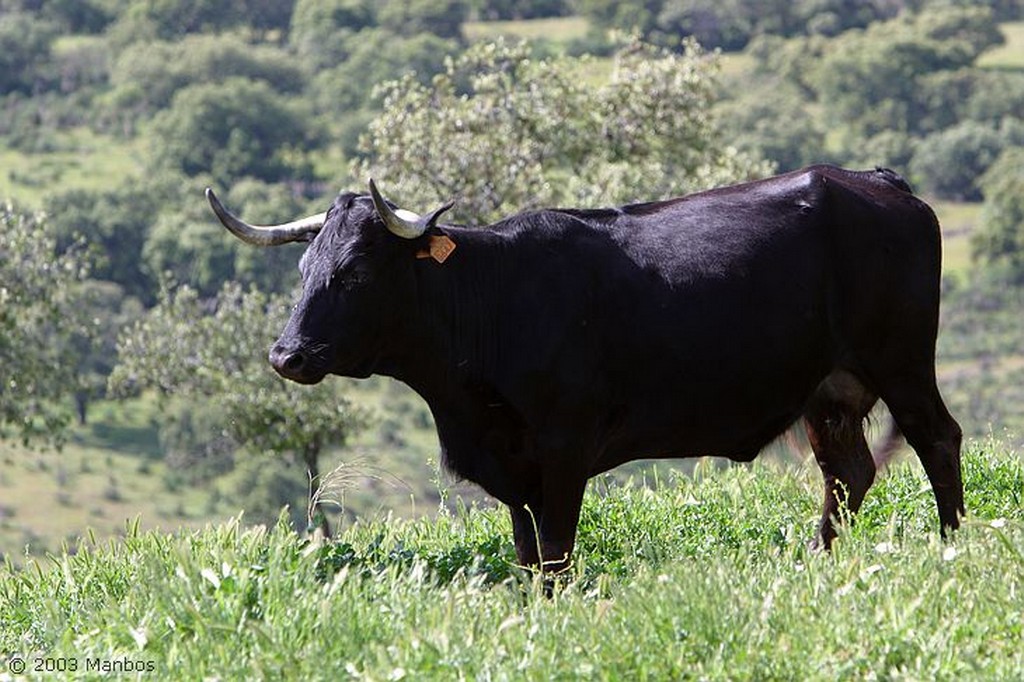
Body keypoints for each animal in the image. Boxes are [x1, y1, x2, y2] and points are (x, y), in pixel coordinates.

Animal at [209, 165, 966, 569]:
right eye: (305, 269)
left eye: (356, 272)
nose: (286, 355)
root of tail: (872, 181)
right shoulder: (512, 469)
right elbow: (526, 556)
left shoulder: (565, 451)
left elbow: (556, 556)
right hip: (826, 392)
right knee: (849, 473)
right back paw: (815, 560)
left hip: (901, 363)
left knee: (938, 439)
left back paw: (954, 545)